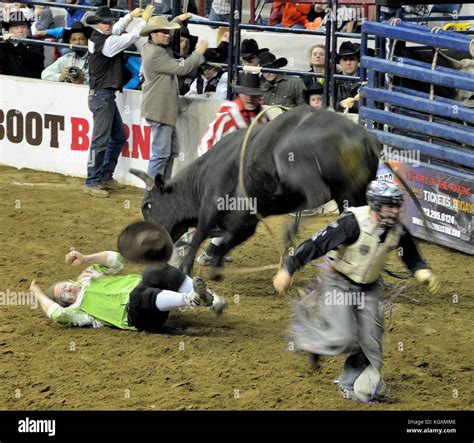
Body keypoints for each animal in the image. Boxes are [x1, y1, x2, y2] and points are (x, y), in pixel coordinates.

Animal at [131, 106, 382, 276]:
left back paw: (290, 231)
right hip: (351, 193)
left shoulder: (212, 204)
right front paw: (214, 261)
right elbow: (228, 237)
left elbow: (202, 231)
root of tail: (365, 138)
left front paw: (187, 266)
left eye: (148, 205)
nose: (150, 240)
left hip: (293, 161)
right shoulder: (245, 221)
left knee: (316, 195)